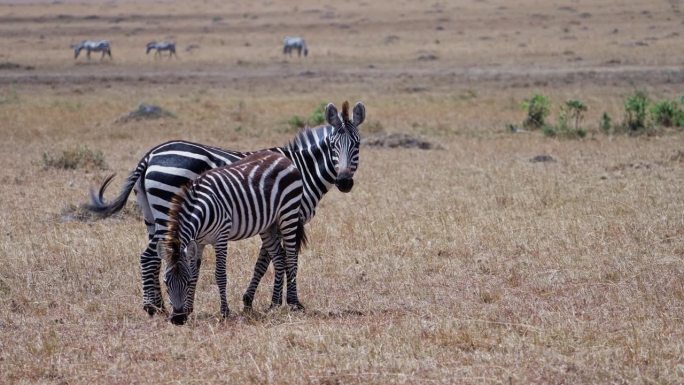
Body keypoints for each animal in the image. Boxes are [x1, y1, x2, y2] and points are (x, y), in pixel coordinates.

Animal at [162, 150, 306, 324]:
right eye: (165, 283)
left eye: (186, 282)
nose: (177, 319)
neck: (202, 210)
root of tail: (282, 157)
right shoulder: (198, 242)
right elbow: (195, 272)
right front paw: (189, 310)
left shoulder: (221, 237)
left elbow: (220, 275)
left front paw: (224, 311)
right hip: (269, 225)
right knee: (279, 258)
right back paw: (274, 305)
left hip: (289, 212)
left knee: (291, 257)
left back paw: (294, 302)